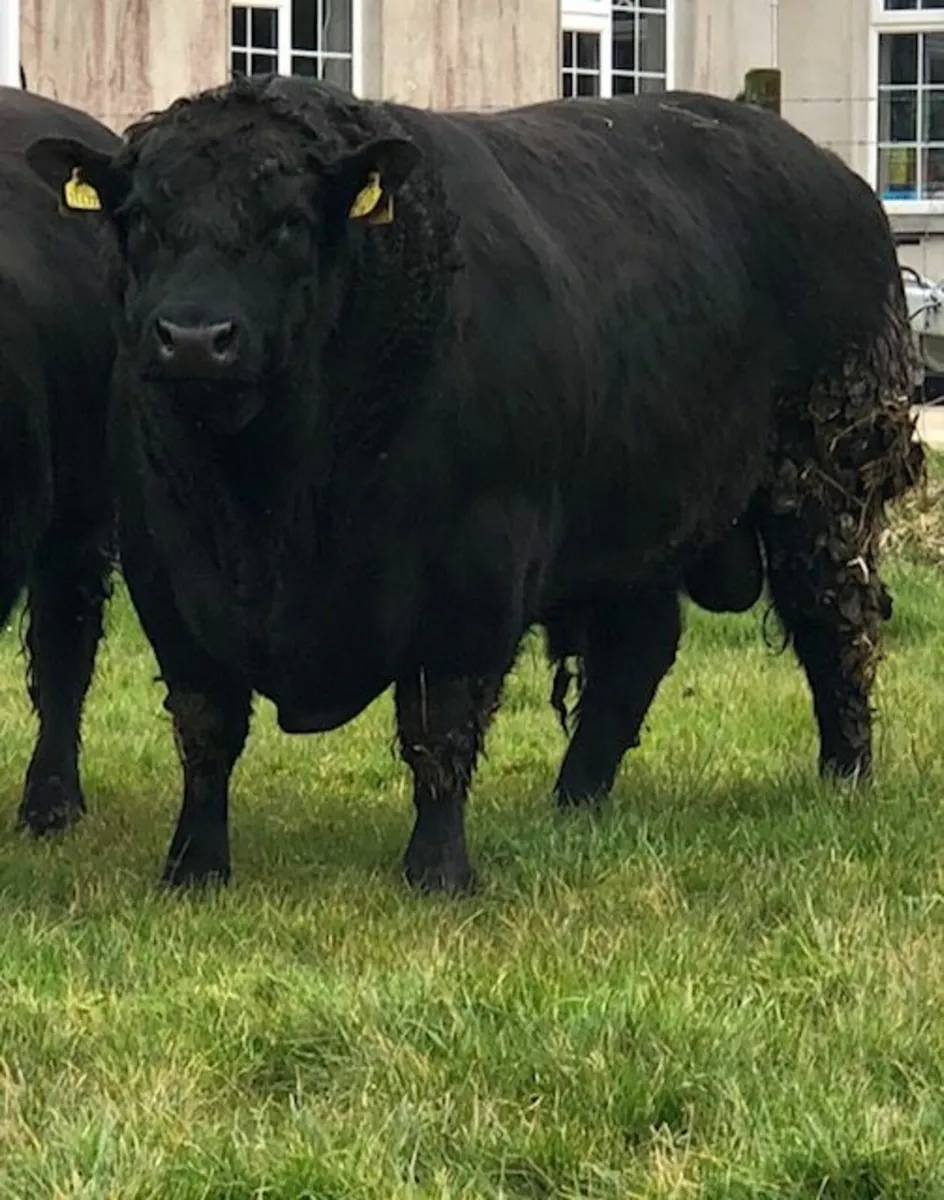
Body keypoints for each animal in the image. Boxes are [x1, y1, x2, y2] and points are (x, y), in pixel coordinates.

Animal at [24, 76, 921, 893]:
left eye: (288, 223)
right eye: (139, 220)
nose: (193, 338)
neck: (274, 497)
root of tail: (828, 171)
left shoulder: (477, 561)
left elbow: (441, 718)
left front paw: (438, 869)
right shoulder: (165, 566)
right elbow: (206, 725)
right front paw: (193, 866)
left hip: (825, 482)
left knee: (833, 623)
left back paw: (844, 776)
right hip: (634, 517)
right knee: (637, 648)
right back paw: (576, 799)